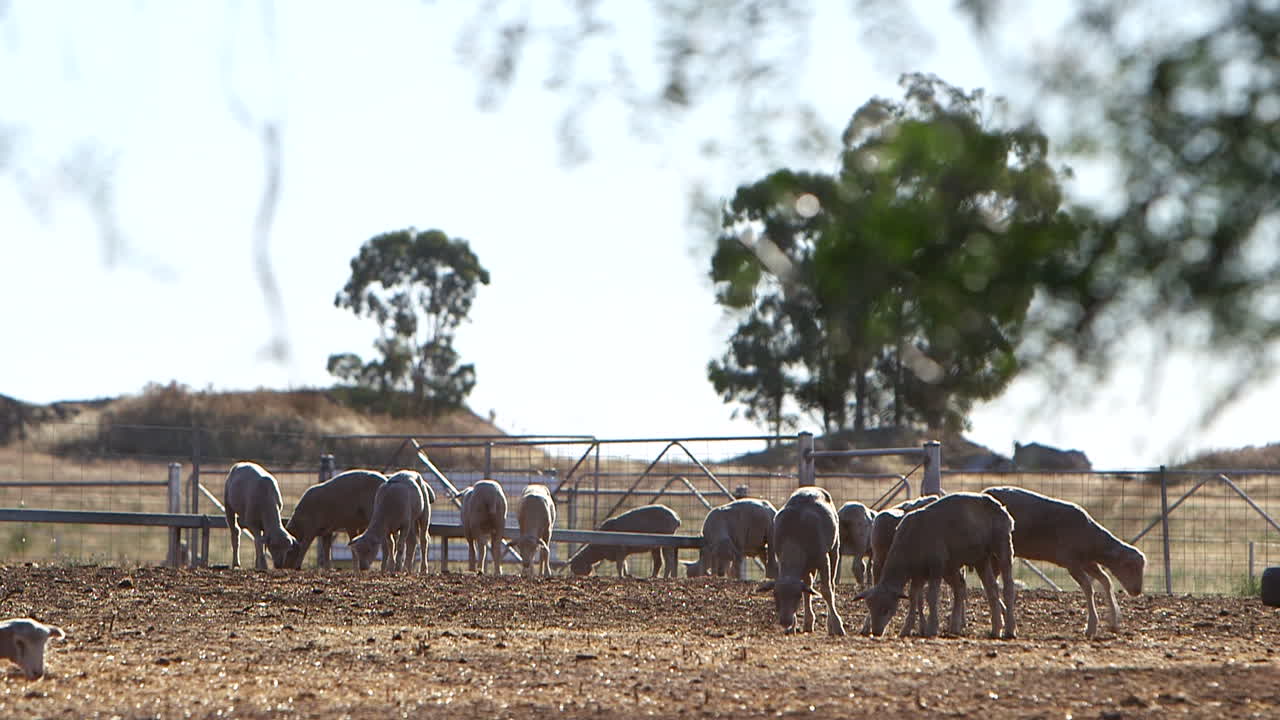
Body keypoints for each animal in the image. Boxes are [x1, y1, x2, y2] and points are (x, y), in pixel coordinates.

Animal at [755, 487, 846, 636]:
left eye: (796, 596)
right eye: (775, 594)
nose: (785, 621)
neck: (794, 537)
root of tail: (813, 488)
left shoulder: (823, 559)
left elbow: (826, 591)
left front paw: (838, 626)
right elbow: (807, 589)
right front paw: (792, 627)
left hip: (834, 549)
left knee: (830, 585)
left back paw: (830, 625)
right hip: (808, 566)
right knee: (808, 585)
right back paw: (808, 623)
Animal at [855, 492, 1016, 640]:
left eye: (886, 609)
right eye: (869, 607)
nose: (876, 632)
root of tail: (1001, 507)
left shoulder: (936, 566)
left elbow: (931, 596)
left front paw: (931, 628)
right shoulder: (918, 572)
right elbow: (913, 596)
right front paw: (907, 629)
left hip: (1002, 544)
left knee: (1007, 586)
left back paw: (1010, 630)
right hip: (979, 558)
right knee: (989, 588)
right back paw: (993, 629)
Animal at [983, 485, 1146, 638]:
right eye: (1130, 566)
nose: (1137, 591)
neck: (1093, 538)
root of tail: (985, 491)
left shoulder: (1088, 562)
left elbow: (1106, 581)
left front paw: (1114, 622)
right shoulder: (1071, 562)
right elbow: (1088, 588)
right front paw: (1091, 627)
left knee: (991, 583)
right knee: (990, 583)